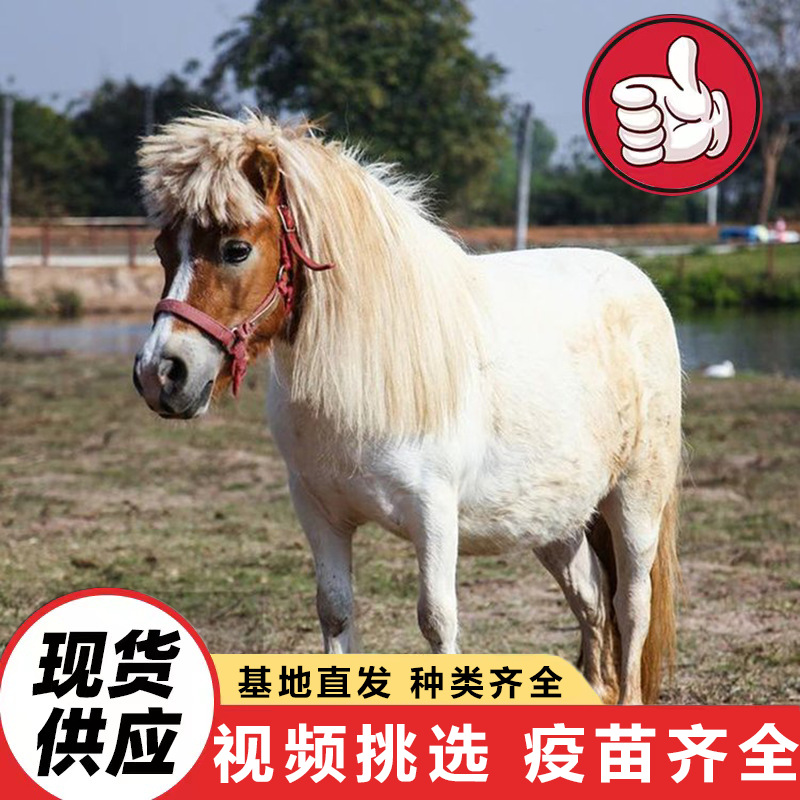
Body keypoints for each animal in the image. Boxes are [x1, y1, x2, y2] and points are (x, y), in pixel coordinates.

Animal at [133, 112, 682, 705]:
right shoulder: (319, 513)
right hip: (556, 520)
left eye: (236, 249)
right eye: (162, 249)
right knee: (592, 602)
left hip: (634, 503)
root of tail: (639, 282)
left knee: (631, 606)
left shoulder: (433, 514)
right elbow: (335, 613)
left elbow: (436, 621)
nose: (160, 374)